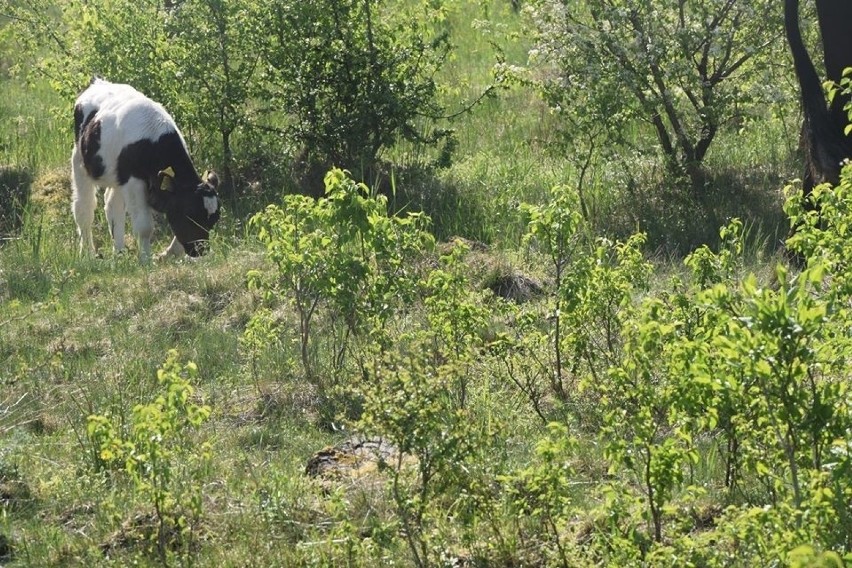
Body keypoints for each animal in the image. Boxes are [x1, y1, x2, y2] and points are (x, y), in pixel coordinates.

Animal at [70, 77, 220, 260]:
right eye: (190, 216)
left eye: (213, 220)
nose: (200, 251)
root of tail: (98, 82)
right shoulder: (133, 180)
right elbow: (144, 227)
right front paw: (146, 260)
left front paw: (167, 254)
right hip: (79, 160)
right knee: (84, 208)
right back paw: (88, 253)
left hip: (116, 174)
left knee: (112, 204)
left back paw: (119, 251)